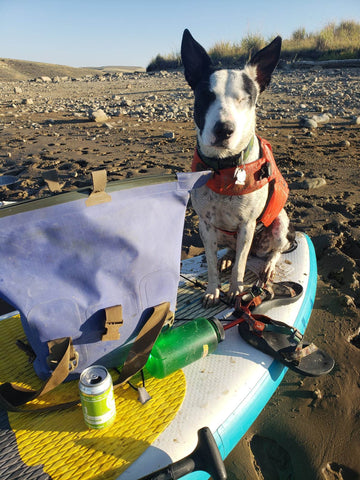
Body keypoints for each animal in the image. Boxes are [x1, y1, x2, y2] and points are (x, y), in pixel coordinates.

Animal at [181, 30, 294, 308]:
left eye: (245, 98)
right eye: (206, 96)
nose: (224, 130)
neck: (224, 166)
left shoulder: (247, 226)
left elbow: (240, 268)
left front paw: (235, 290)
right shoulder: (205, 226)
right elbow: (211, 266)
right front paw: (213, 290)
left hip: (279, 224)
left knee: (274, 251)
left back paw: (267, 267)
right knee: (231, 252)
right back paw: (227, 257)